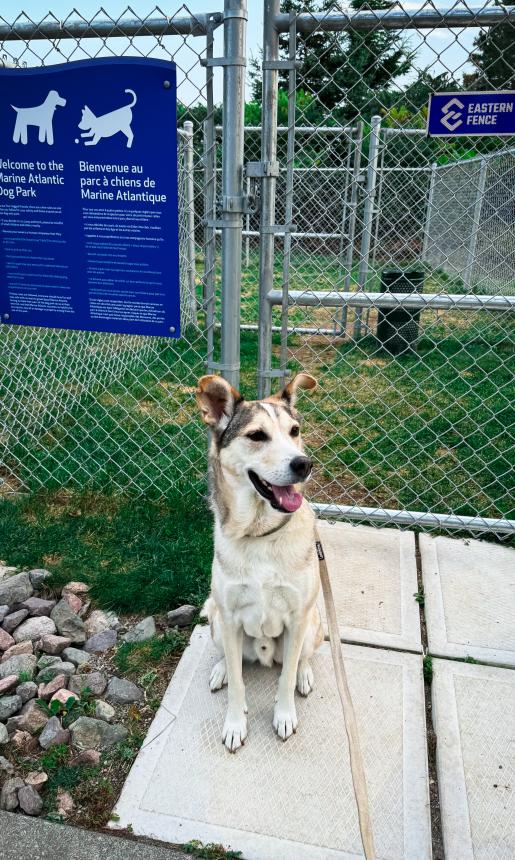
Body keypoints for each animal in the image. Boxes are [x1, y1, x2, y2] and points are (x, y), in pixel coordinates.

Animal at [198, 372, 322, 748]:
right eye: (257, 435)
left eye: (295, 430)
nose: (304, 464)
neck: (260, 535)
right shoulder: (229, 616)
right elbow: (238, 685)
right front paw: (235, 725)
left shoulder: (297, 618)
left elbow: (286, 677)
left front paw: (284, 716)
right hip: (216, 621)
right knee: (230, 658)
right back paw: (221, 670)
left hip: (313, 625)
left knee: (300, 660)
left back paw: (304, 675)